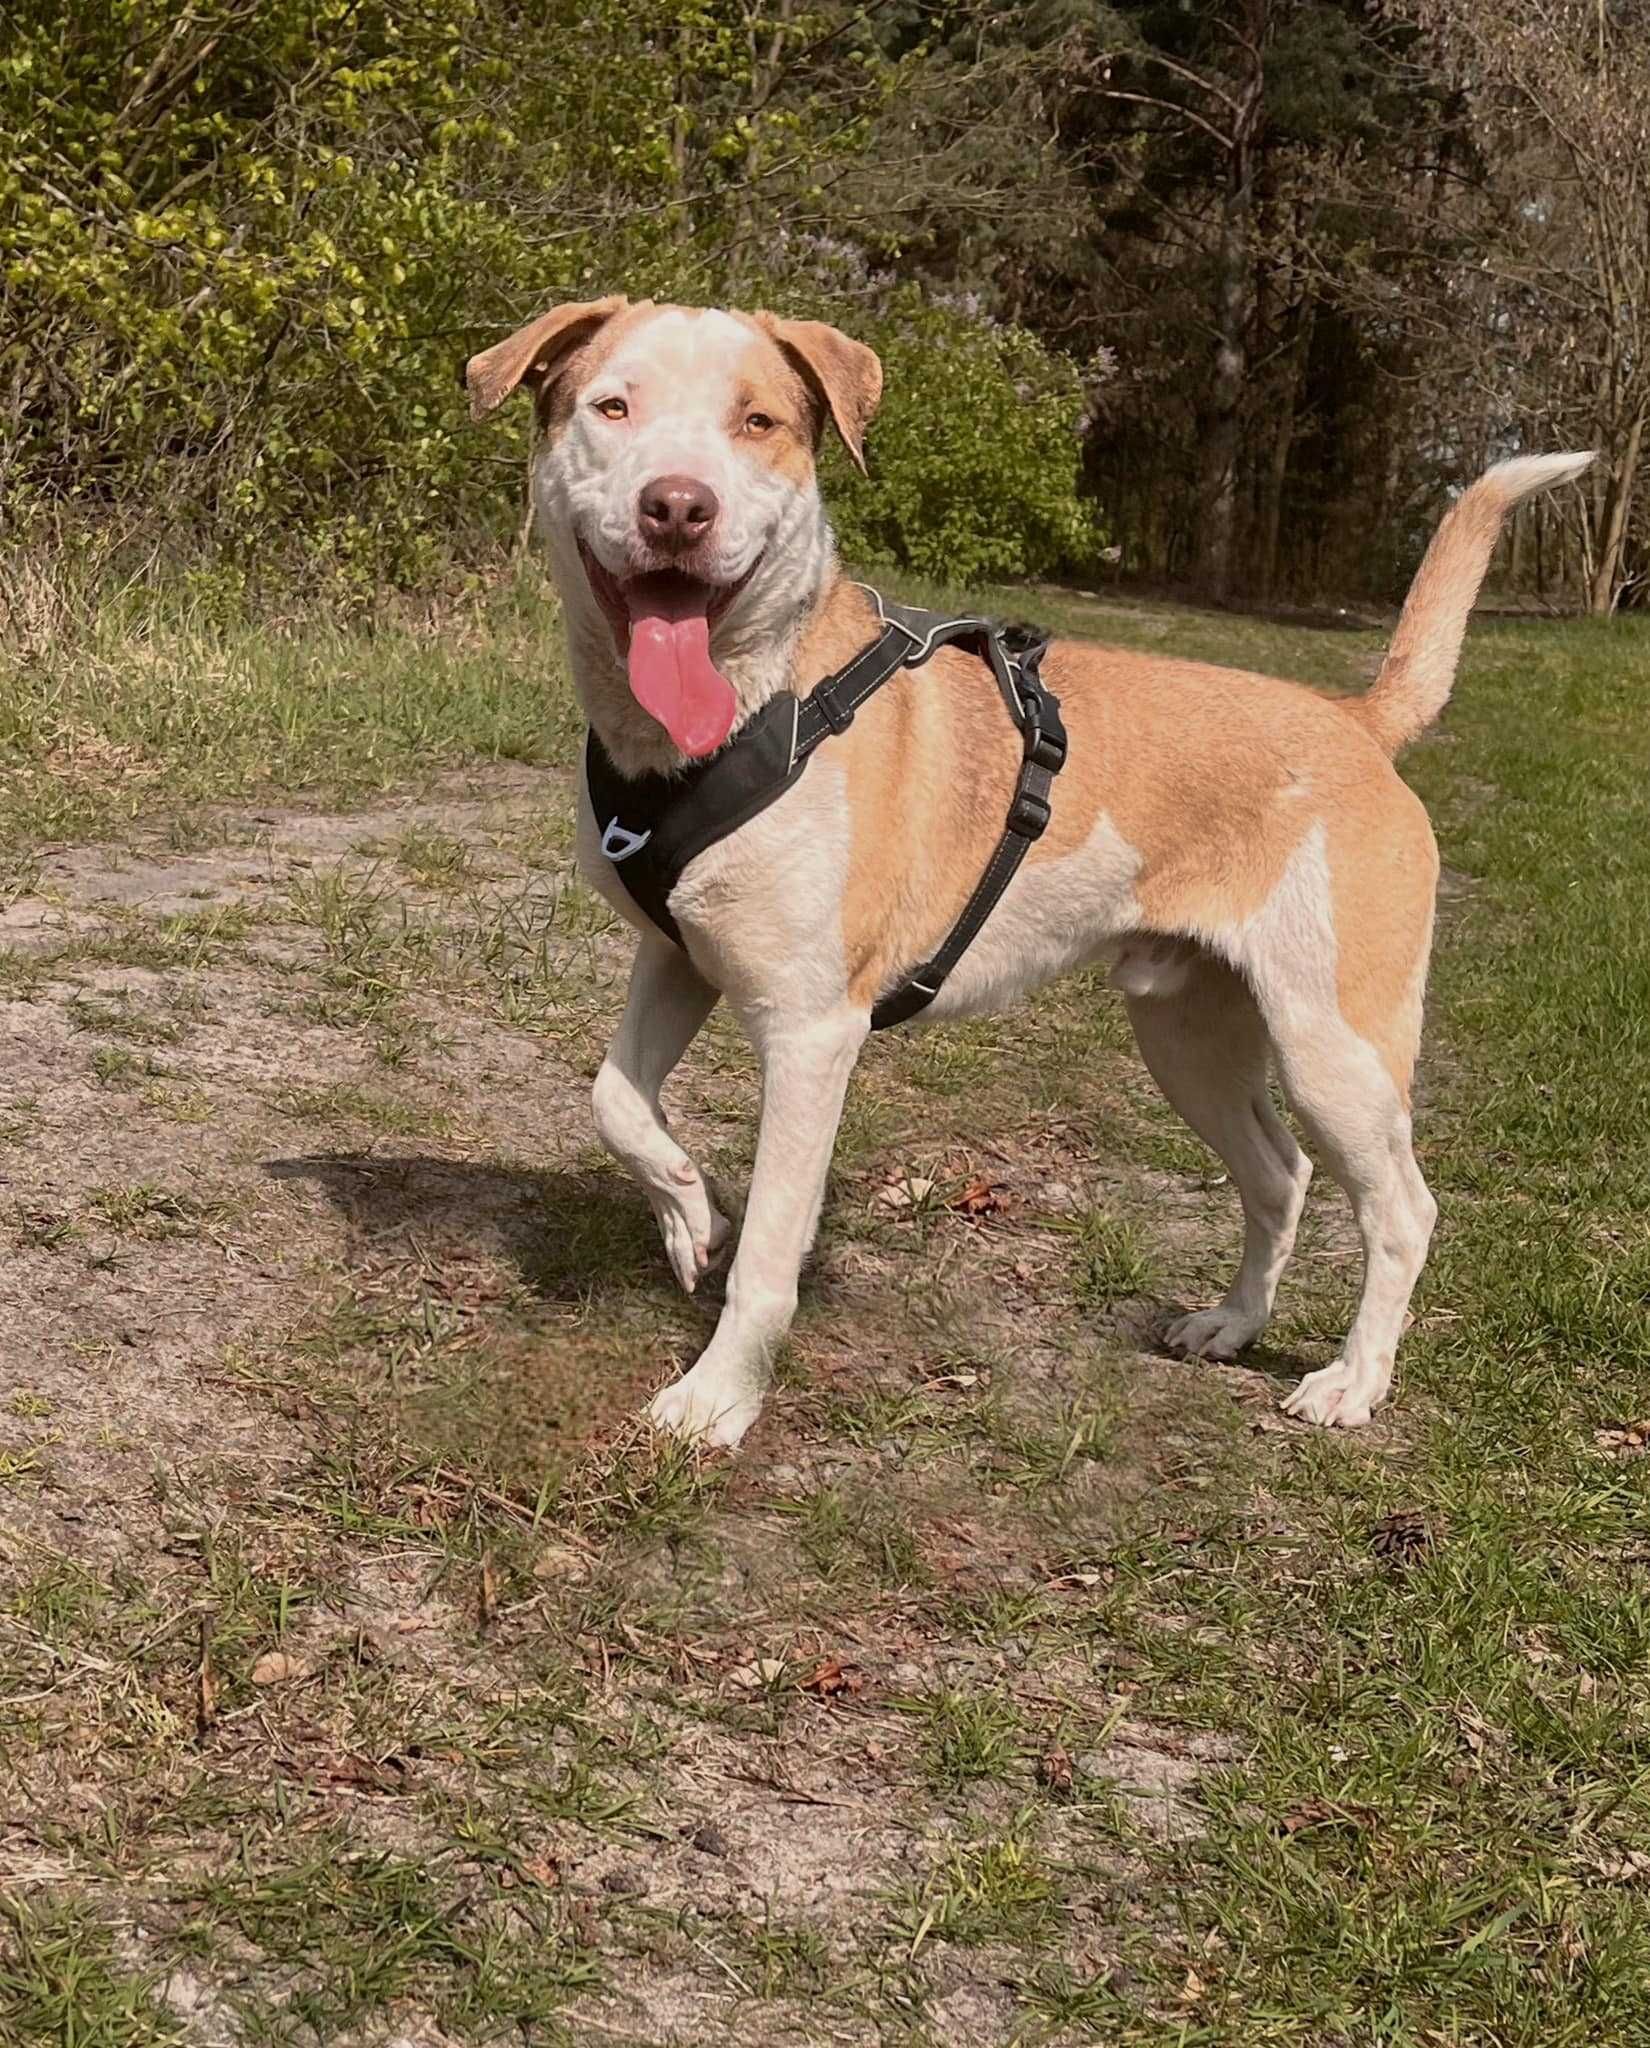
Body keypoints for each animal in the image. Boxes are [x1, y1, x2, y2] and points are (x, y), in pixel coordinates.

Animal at [462, 296, 1588, 1449]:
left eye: (758, 421)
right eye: (613, 406)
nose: (678, 507)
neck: (754, 707)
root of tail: (1358, 722)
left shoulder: (813, 1031)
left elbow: (772, 1251)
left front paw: (718, 1399)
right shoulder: (678, 954)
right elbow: (615, 1100)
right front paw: (690, 1213)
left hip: (1336, 1047)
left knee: (1402, 1208)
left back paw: (1353, 1381)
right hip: (1189, 1036)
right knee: (1280, 1175)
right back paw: (1231, 1325)